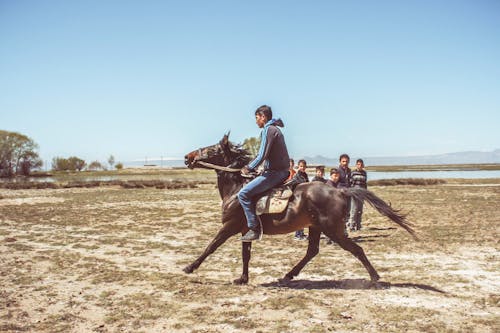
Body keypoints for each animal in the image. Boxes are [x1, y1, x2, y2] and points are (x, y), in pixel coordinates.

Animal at [182, 134, 416, 284]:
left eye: (211, 149)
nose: (187, 157)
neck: (237, 188)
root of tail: (340, 191)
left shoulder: (230, 226)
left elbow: (211, 246)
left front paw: (190, 267)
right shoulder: (245, 230)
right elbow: (245, 254)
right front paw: (242, 278)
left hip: (333, 230)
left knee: (356, 249)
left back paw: (375, 278)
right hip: (315, 227)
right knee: (312, 251)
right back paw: (288, 275)